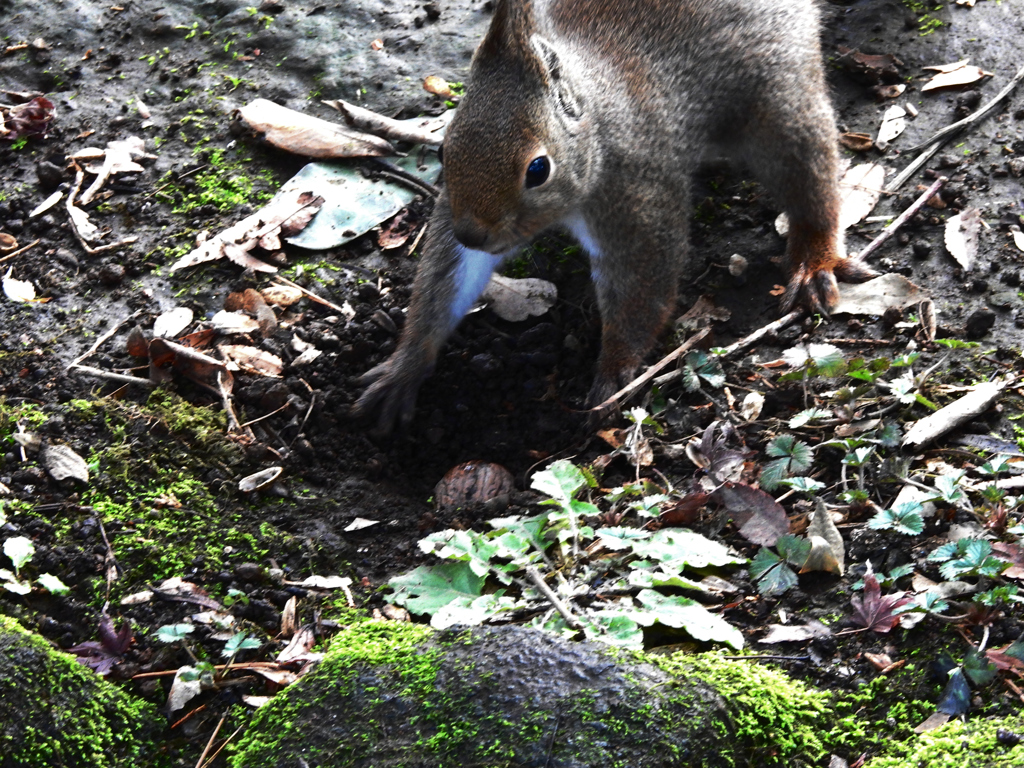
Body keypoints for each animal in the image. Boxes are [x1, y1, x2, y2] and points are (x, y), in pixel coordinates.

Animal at [352, 0, 872, 434]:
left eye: (538, 169)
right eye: (443, 150)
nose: (472, 233)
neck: (598, 124)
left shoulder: (638, 193)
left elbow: (644, 288)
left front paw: (613, 375)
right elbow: (446, 281)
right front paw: (404, 368)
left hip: (776, 94)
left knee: (809, 174)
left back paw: (815, 257)